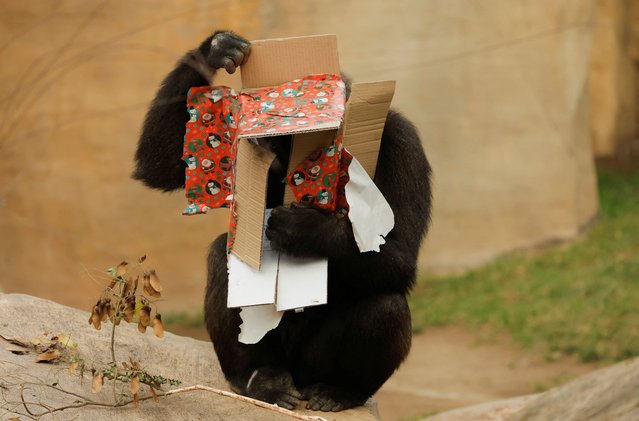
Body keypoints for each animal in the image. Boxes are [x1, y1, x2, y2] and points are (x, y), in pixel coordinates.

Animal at [135, 31, 436, 412]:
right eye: (275, 137)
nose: (280, 157)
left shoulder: (402, 142)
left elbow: (401, 253)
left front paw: (308, 231)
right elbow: (163, 165)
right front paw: (215, 49)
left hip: (310, 365)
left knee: (387, 306)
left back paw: (342, 389)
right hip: (279, 359)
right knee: (223, 256)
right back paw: (258, 376)